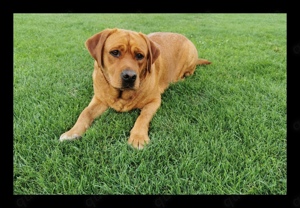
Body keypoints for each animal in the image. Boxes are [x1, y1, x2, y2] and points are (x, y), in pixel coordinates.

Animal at [60, 28, 211, 149]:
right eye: (115, 52)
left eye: (140, 56)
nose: (130, 76)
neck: (122, 95)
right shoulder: (99, 99)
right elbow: (85, 113)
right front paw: (72, 132)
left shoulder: (154, 101)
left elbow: (143, 116)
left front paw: (138, 137)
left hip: (190, 59)